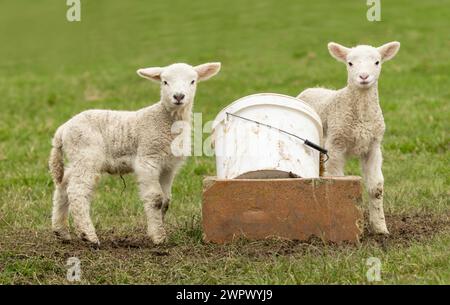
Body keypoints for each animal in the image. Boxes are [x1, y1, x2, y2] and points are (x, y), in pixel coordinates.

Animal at [48, 61, 221, 245]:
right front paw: (158, 236)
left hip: (77, 158)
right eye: (164, 82)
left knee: (63, 185)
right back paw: (89, 236)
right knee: (77, 191)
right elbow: (156, 199)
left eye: (192, 81)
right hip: (86, 154)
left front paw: (159, 227)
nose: (179, 96)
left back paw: (61, 231)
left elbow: (166, 200)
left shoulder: (169, 166)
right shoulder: (148, 158)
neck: (167, 120)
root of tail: (63, 129)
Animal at [298, 41, 400, 234]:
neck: (361, 118)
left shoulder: (373, 147)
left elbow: (376, 188)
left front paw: (380, 229)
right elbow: (337, 180)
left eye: (377, 62)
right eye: (350, 63)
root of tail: (312, 88)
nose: (363, 76)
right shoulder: (335, 145)